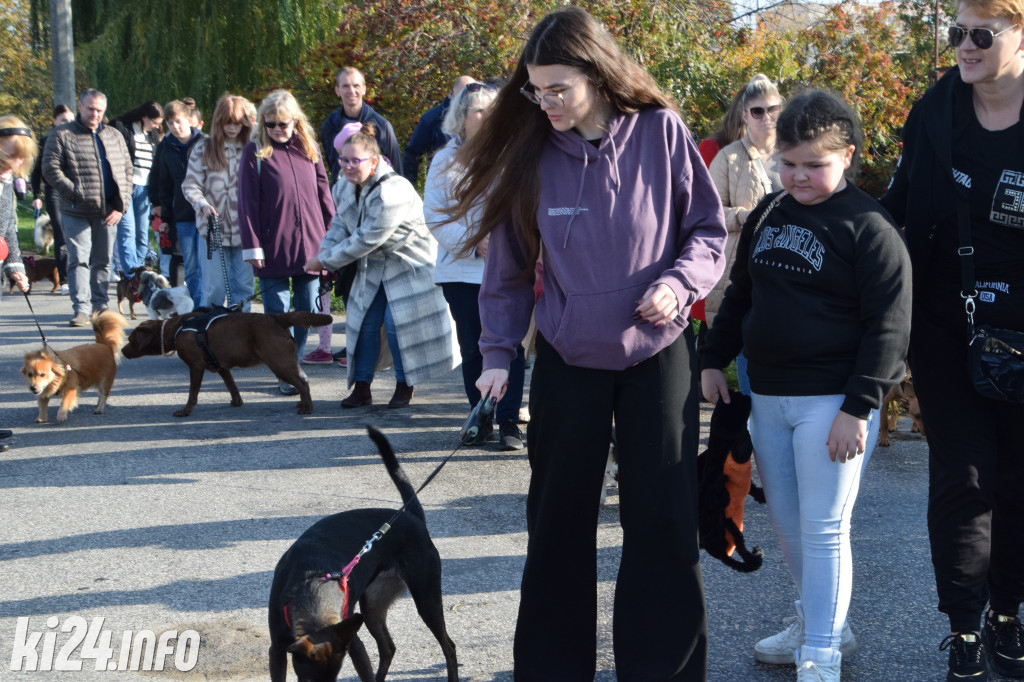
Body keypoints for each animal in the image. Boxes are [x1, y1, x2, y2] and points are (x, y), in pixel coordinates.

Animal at [122, 307, 331, 413]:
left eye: (131, 340)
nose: (122, 350)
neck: (175, 329)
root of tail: (277, 318)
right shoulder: (222, 367)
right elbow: (232, 386)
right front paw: (236, 402)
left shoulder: (195, 367)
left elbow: (192, 392)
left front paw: (185, 411)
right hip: (286, 361)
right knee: (303, 380)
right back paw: (302, 404)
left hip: (279, 362)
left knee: (303, 384)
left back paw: (307, 409)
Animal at [266, 428, 458, 675]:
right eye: (307, 679)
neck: (310, 587)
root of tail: (411, 516)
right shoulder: (277, 650)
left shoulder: (355, 645)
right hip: (372, 607)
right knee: (388, 648)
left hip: (426, 600)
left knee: (449, 647)